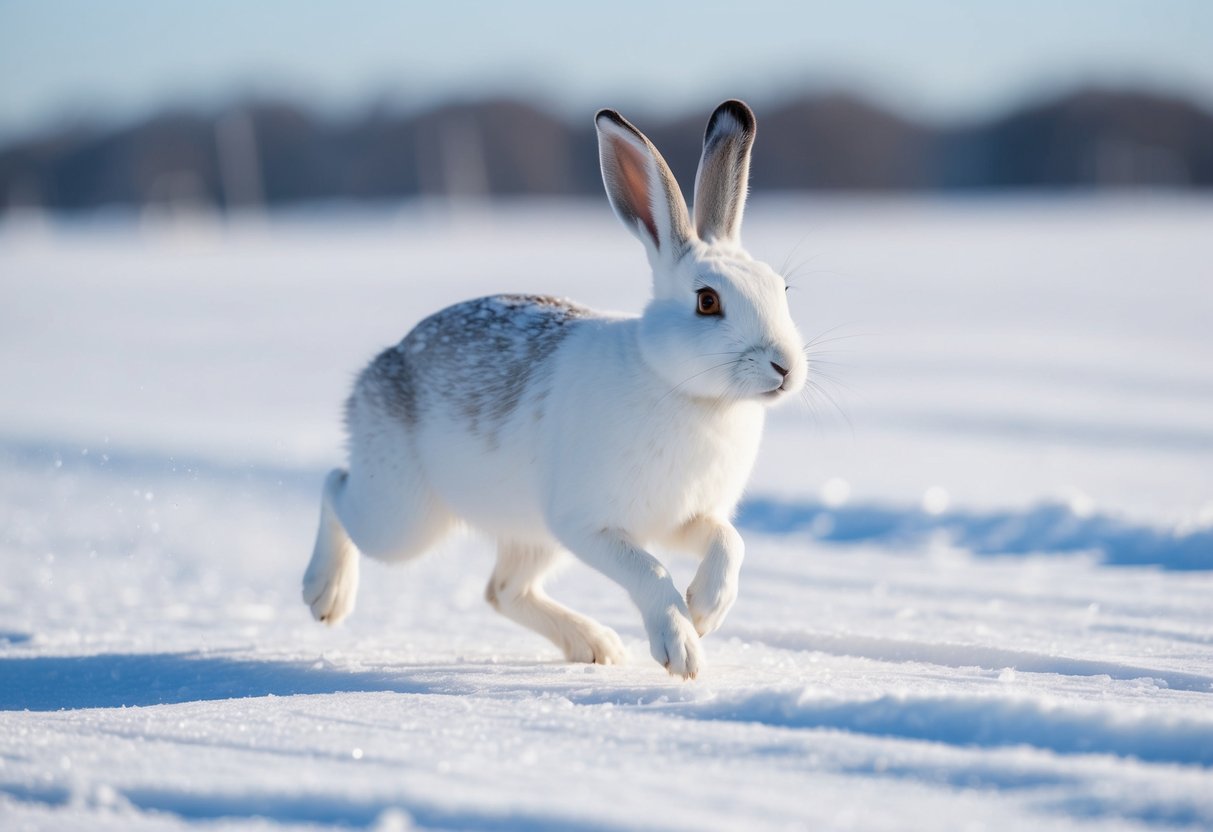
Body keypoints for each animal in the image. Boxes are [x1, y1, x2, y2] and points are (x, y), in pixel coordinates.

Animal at [302, 100, 806, 679]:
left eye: (782, 288)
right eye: (707, 301)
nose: (785, 367)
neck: (683, 389)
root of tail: (382, 365)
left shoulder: (685, 518)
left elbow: (729, 541)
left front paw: (705, 610)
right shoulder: (587, 525)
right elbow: (649, 571)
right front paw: (682, 650)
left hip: (525, 534)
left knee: (503, 590)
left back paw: (596, 646)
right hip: (405, 519)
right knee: (336, 487)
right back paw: (324, 595)